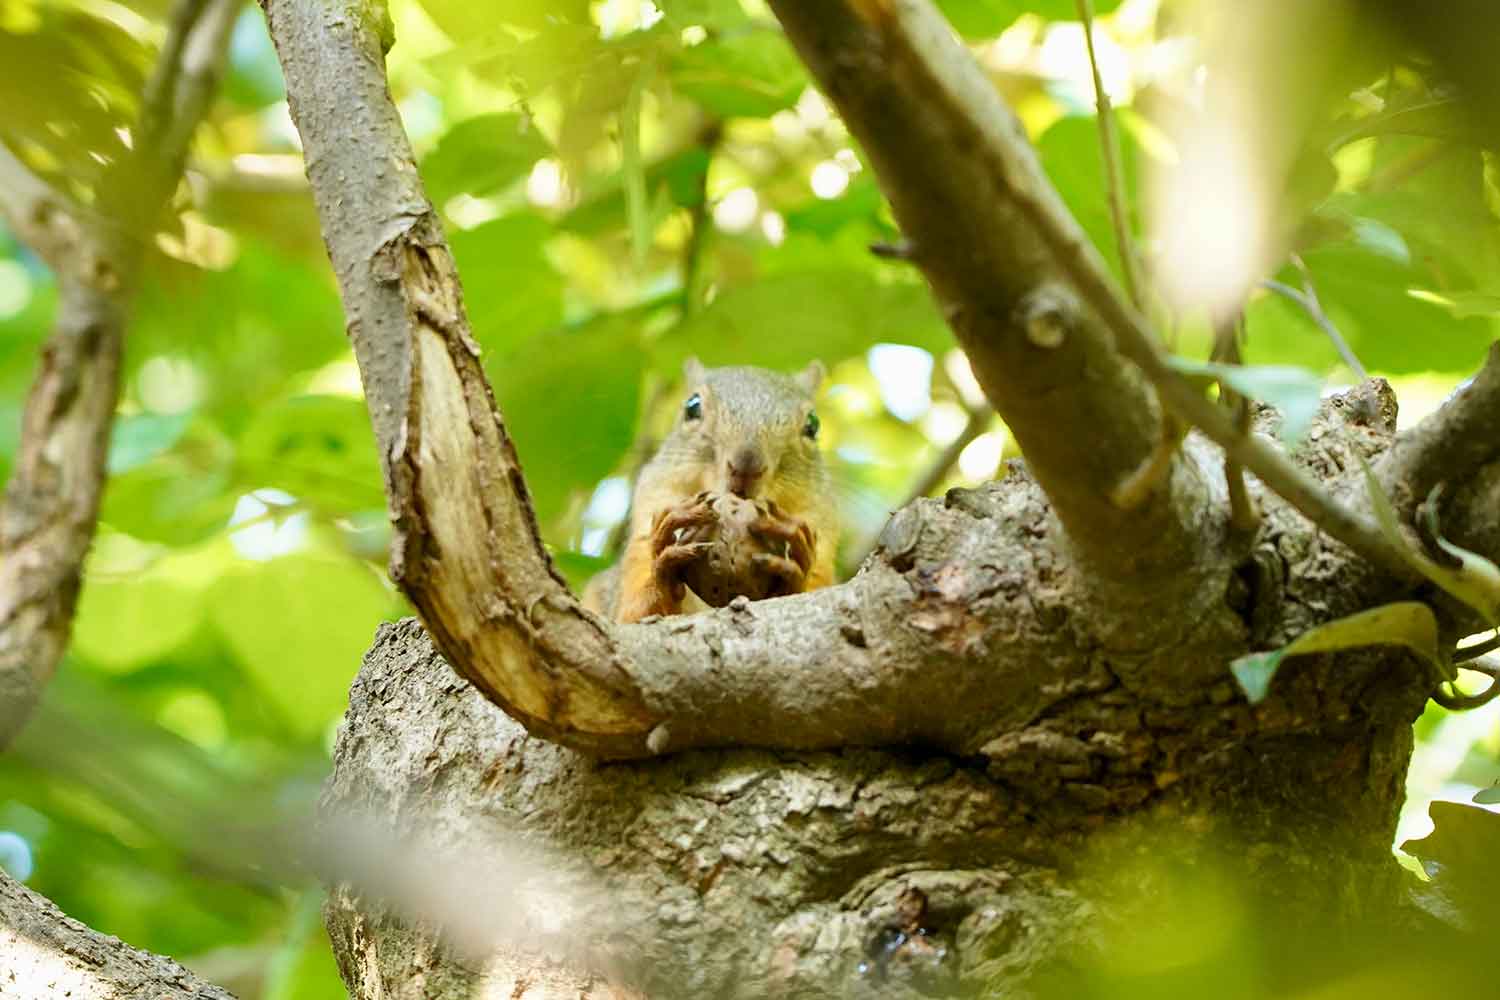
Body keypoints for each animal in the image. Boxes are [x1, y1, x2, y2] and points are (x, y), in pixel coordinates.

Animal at [585, 359, 846, 626]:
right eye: (692, 407)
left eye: (813, 425)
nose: (746, 465)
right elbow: (633, 613)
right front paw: (662, 562)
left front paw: (796, 567)